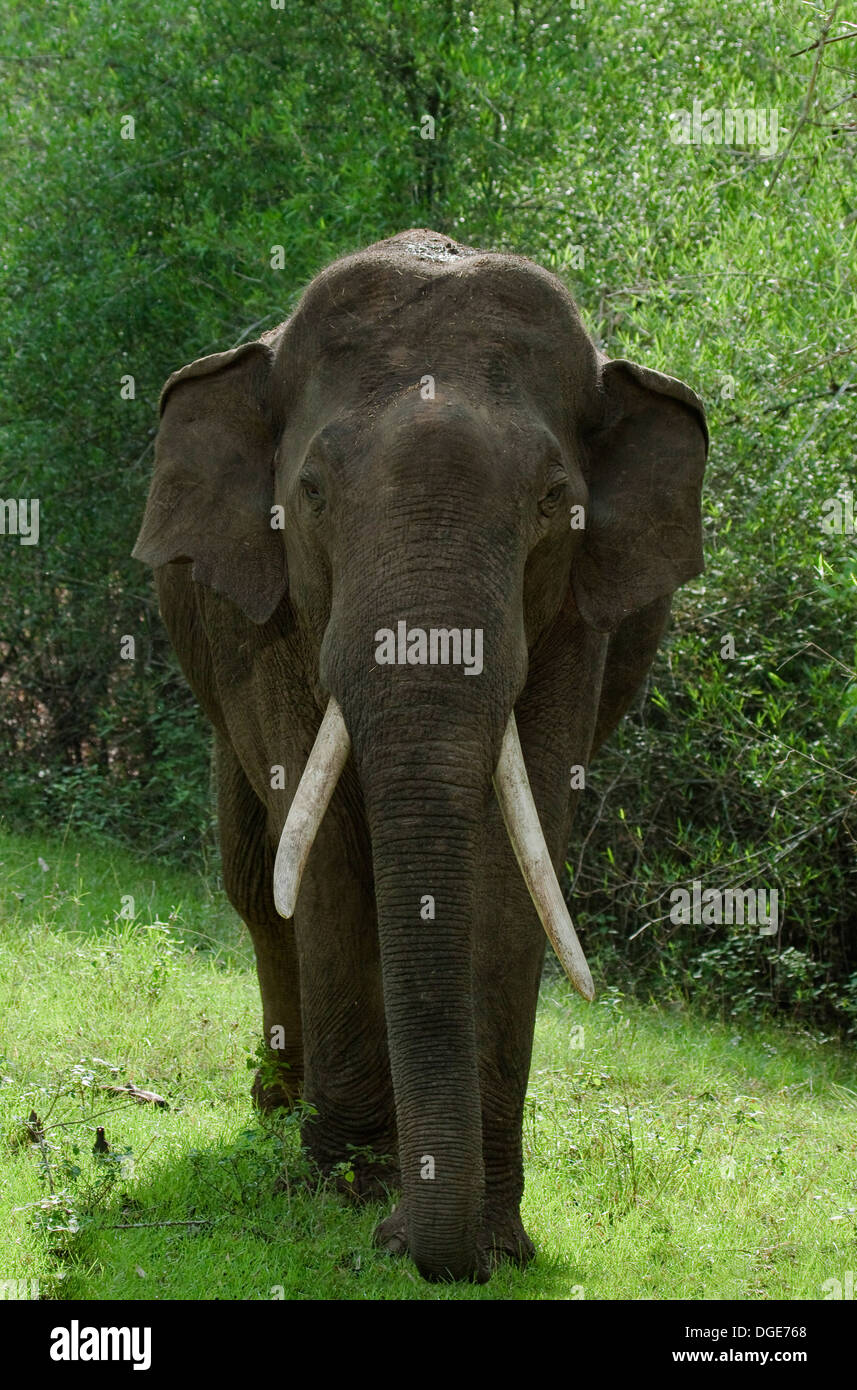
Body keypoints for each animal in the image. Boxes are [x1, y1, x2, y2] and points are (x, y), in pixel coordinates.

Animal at [135, 227, 708, 1278]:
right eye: (311, 494)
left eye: (553, 502)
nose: (404, 1241)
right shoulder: (270, 616)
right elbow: (316, 849)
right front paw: (348, 1187)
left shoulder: (575, 619)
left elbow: (517, 856)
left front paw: (490, 1237)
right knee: (254, 880)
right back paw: (276, 1108)